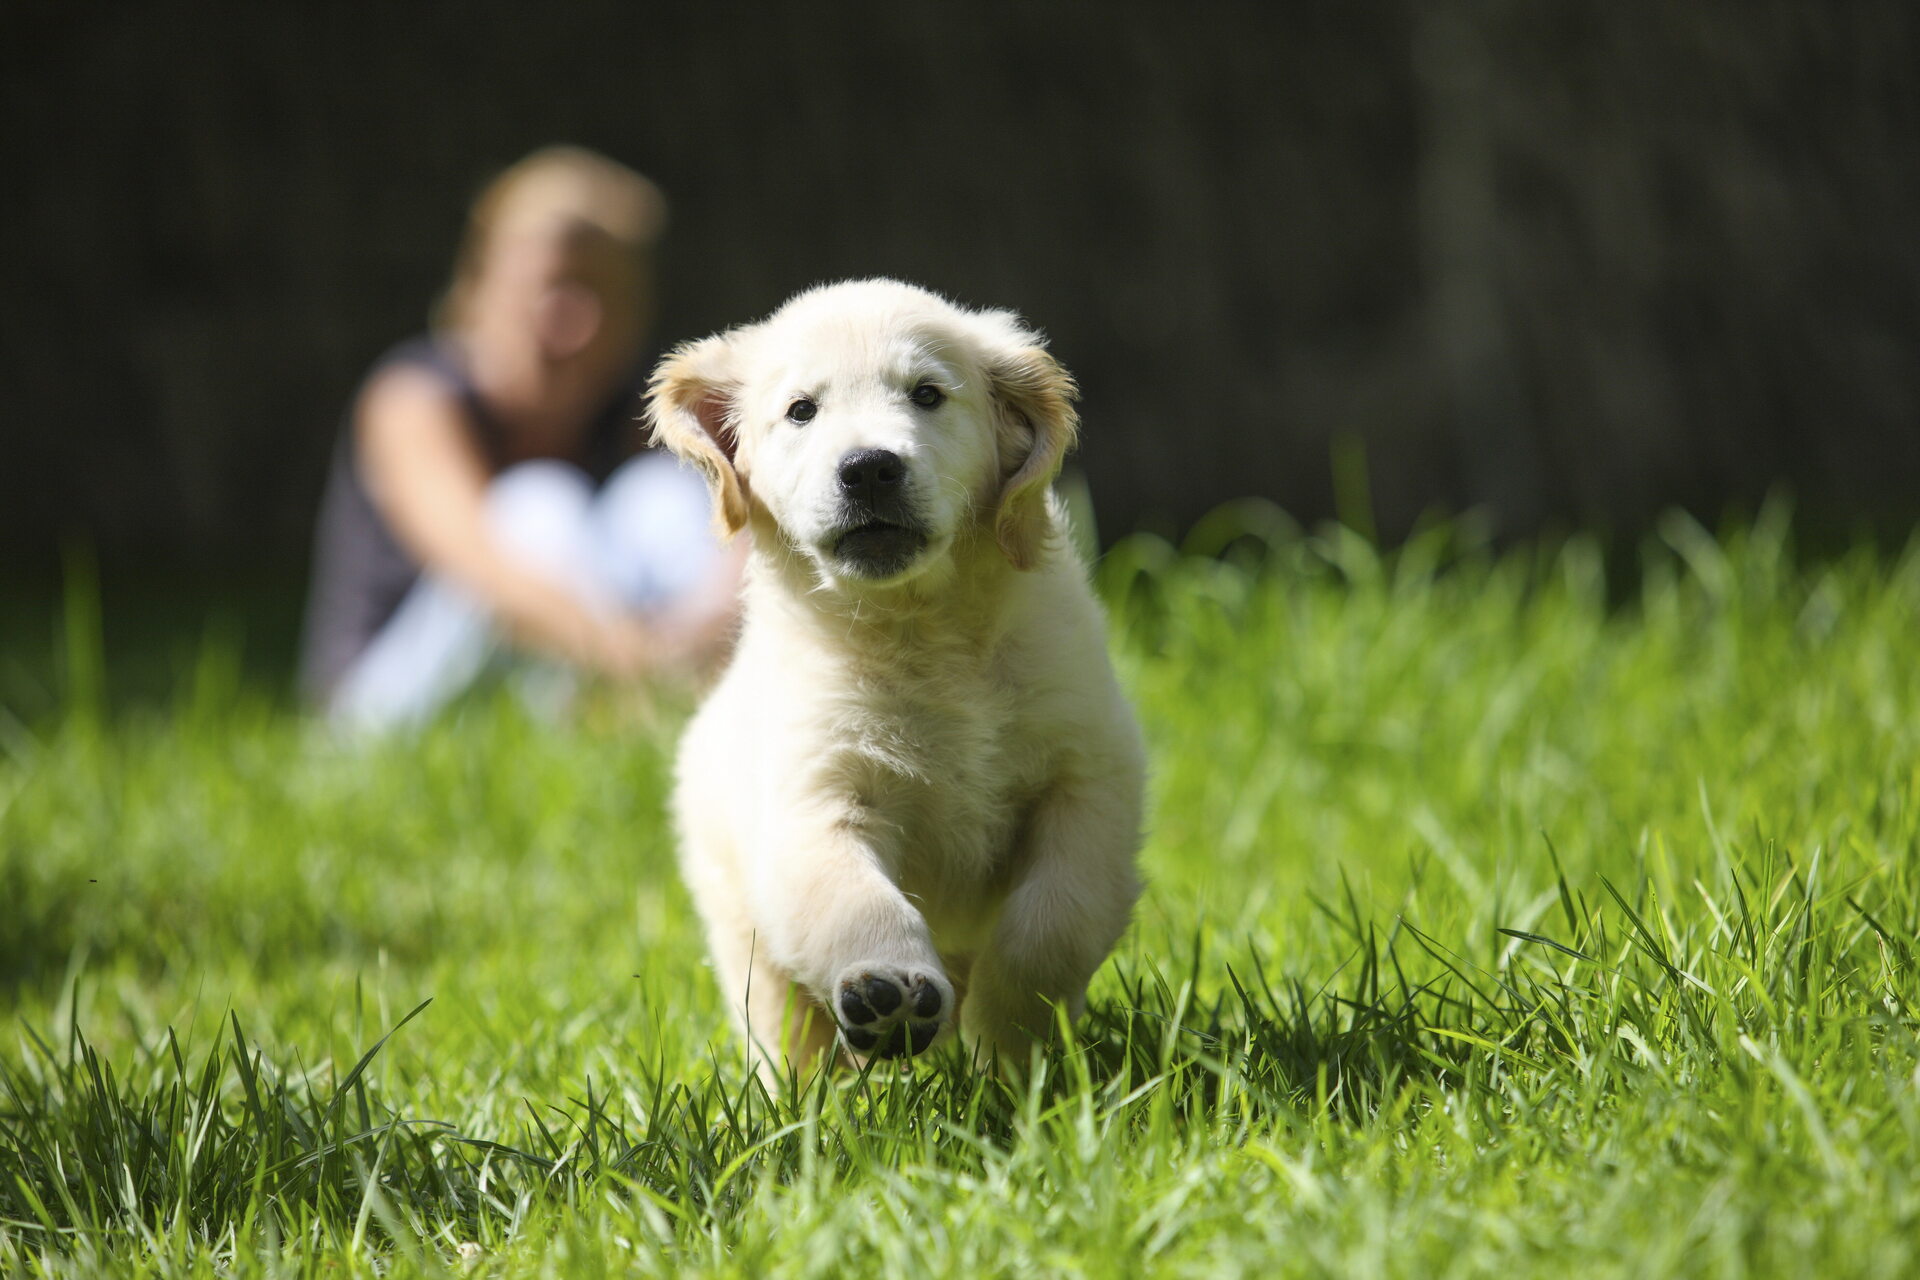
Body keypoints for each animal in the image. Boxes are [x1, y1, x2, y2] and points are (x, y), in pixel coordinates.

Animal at [645, 278, 1144, 1074]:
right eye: (801, 410)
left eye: (928, 395)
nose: (870, 468)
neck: (921, 629)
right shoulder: (812, 802)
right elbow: (853, 901)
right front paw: (890, 992)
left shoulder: (1087, 779)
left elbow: (1054, 921)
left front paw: (1010, 1035)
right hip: (737, 926)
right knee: (785, 1029)